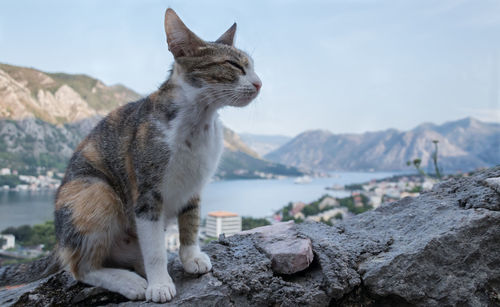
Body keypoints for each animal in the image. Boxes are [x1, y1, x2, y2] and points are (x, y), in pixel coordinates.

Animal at [0, 8, 264, 304]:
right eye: (234, 65)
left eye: (252, 66)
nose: (259, 83)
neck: (199, 122)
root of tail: (60, 242)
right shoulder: (147, 193)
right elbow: (155, 250)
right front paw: (159, 284)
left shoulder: (194, 183)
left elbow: (191, 222)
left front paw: (191, 257)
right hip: (97, 191)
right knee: (81, 268)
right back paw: (129, 282)